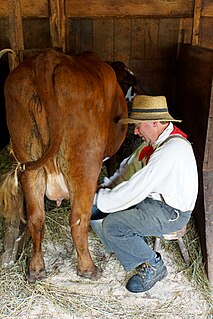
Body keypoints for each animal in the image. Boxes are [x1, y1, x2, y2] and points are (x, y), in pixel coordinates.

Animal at [3, 47, 126, 282]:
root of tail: (48, 57)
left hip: (29, 162)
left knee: (36, 218)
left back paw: (36, 269)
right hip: (84, 164)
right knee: (79, 218)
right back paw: (88, 268)